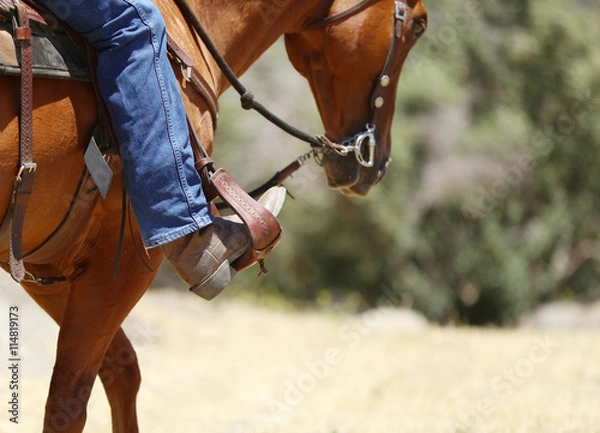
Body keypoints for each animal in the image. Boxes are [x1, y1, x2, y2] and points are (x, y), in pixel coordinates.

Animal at [0, 0, 426, 430]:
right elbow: (68, 403)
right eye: (419, 25)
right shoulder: (121, 263)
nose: (376, 163)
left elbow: (120, 369)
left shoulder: (48, 267)